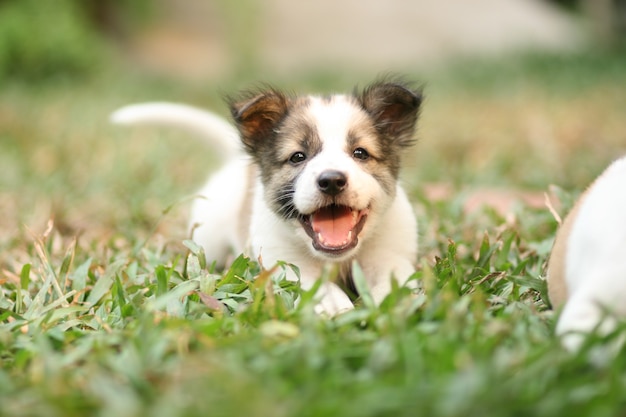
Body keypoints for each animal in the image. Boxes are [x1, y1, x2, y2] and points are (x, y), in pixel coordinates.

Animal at [113, 79, 424, 314]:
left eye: (360, 153)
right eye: (298, 157)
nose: (332, 181)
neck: (337, 259)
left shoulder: (390, 258)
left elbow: (392, 285)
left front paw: (392, 308)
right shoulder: (288, 265)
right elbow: (322, 289)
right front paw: (337, 309)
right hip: (208, 243)